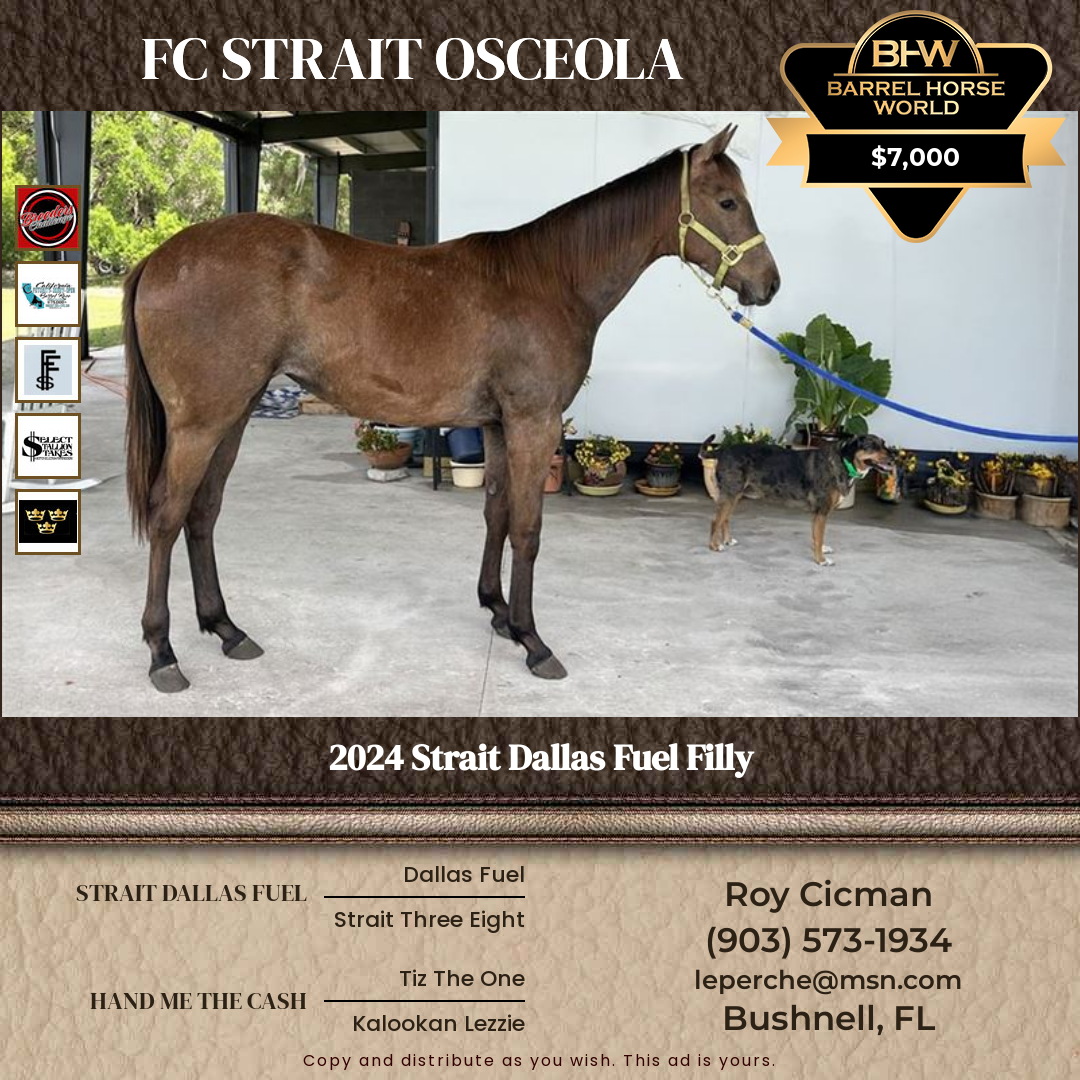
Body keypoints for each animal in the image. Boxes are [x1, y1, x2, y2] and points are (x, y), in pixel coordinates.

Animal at [124, 124, 780, 693]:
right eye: (727, 202)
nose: (768, 284)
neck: (549, 278)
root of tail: (158, 258)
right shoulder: (533, 421)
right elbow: (527, 528)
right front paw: (533, 640)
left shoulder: (497, 424)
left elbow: (495, 514)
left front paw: (497, 612)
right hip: (201, 423)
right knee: (166, 516)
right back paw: (163, 653)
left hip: (232, 417)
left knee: (203, 513)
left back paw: (226, 629)